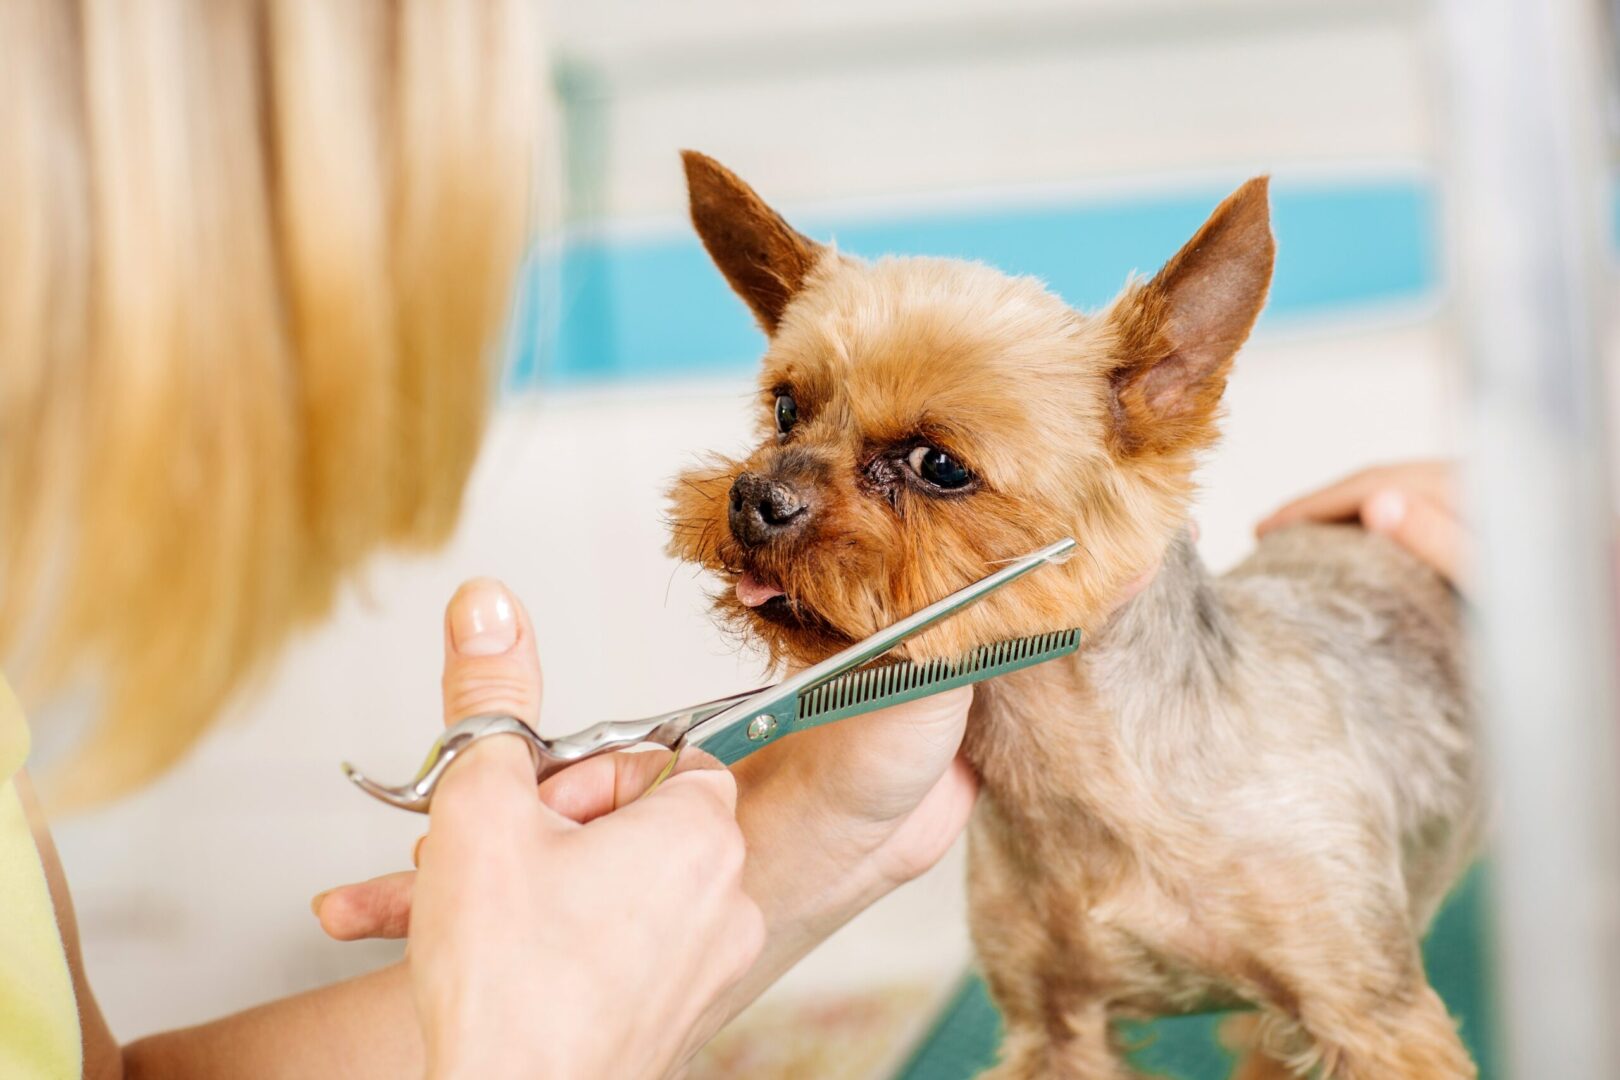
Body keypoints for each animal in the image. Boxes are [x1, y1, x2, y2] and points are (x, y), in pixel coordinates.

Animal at [667, 153, 1483, 1080]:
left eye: (938, 465)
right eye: (784, 410)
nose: (754, 498)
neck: (1080, 783)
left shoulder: (1375, 1017)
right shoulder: (1053, 1027)